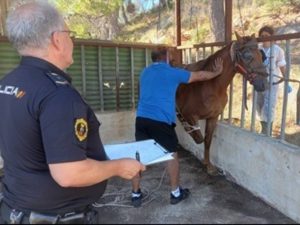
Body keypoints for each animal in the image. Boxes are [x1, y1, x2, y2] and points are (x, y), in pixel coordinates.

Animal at [176, 32, 268, 175]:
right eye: (248, 56)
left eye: (261, 55)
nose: (264, 84)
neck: (211, 85)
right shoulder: (189, 115)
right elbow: (199, 137)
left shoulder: (213, 117)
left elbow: (207, 140)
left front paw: (208, 165)